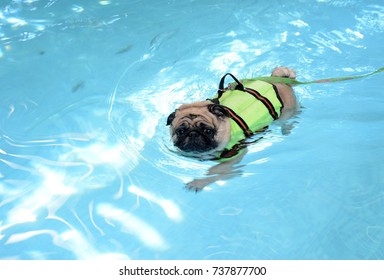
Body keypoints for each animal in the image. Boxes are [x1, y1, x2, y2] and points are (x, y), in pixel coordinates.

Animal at [166, 66, 296, 191]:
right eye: (180, 131)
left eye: (208, 131)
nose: (193, 133)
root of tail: (278, 80)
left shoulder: (232, 157)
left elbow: (214, 170)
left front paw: (198, 183)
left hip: (287, 112)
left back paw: (286, 129)